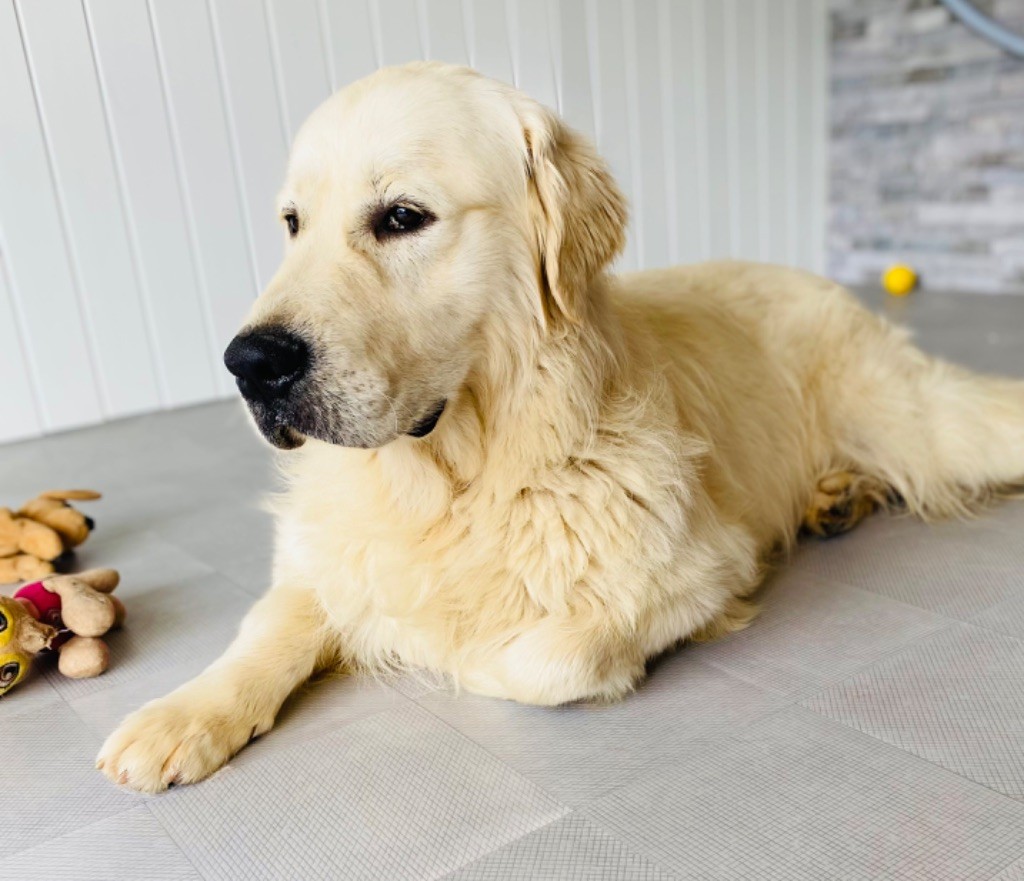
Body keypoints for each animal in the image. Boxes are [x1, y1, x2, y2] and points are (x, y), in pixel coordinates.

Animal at [97, 61, 1024, 790]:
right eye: (292, 224)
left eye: (401, 216)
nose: (249, 363)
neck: (457, 476)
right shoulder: (330, 552)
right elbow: (266, 629)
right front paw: (177, 717)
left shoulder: (704, 563)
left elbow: (534, 659)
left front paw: (427, 645)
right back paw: (837, 496)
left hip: (916, 419)